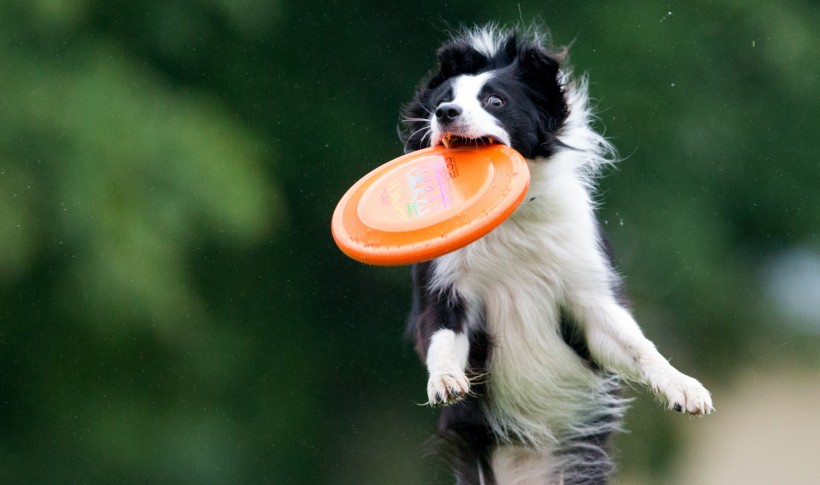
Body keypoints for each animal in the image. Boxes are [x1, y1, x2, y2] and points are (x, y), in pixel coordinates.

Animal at [400, 26, 716, 484]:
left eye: (496, 101)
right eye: (444, 97)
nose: (445, 112)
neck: (510, 222)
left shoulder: (588, 293)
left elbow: (638, 345)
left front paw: (684, 387)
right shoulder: (443, 291)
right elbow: (441, 339)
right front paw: (444, 381)